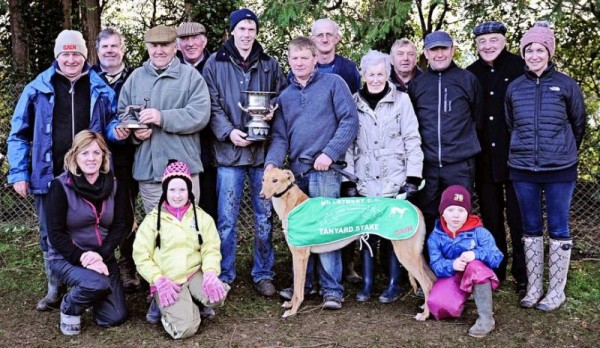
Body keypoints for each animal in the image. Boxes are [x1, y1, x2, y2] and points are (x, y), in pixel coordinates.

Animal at [258, 169, 436, 320]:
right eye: (263, 179)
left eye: (275, 180)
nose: (261, 196)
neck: (294, 204)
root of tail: (414, 207)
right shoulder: (301, 255)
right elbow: (297, 286)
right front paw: (290, 304)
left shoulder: (300, 255)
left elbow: (298, 290)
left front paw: (293, 310)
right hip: (416, 255)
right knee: (432, 280)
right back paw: (426, 306)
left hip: (405, 254)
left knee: (427, 284)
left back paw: (425, 315)